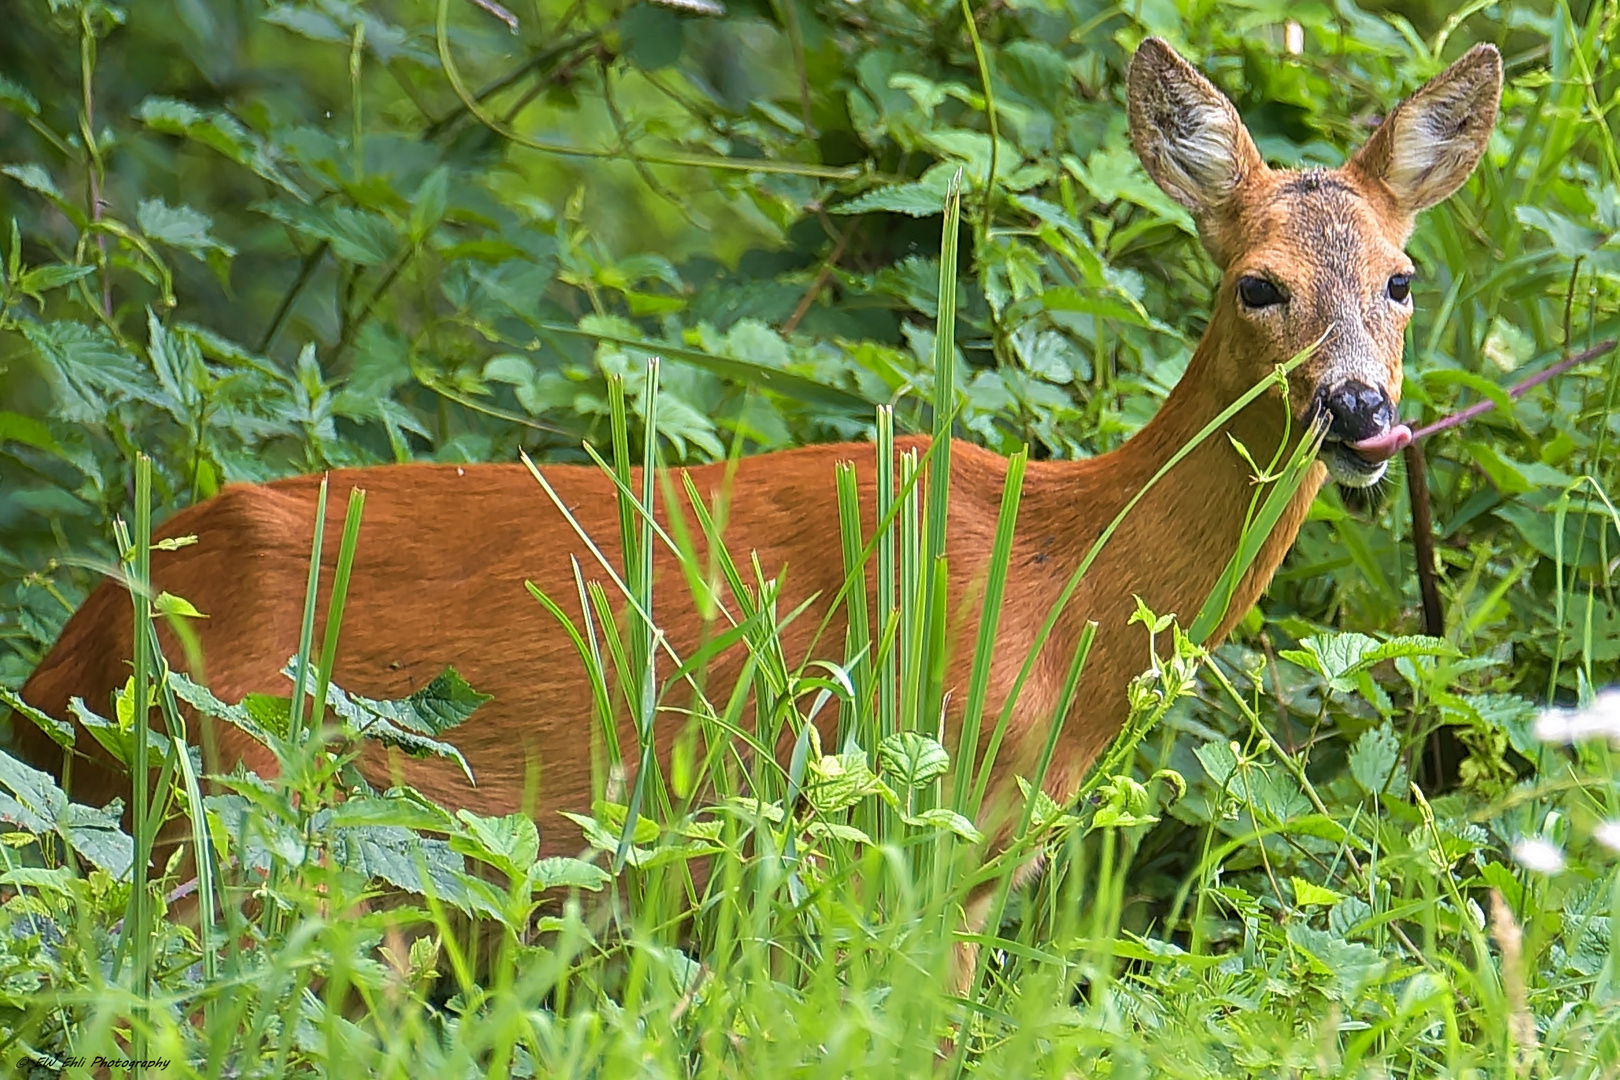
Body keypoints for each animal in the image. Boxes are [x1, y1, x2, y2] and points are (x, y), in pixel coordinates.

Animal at [15, 38, 1503, 971]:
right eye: (1258, 283)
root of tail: (65, 667)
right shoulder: (909, 815)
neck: (1060, 590)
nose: (1360, 415)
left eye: (1403, 279)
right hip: (243, 808)